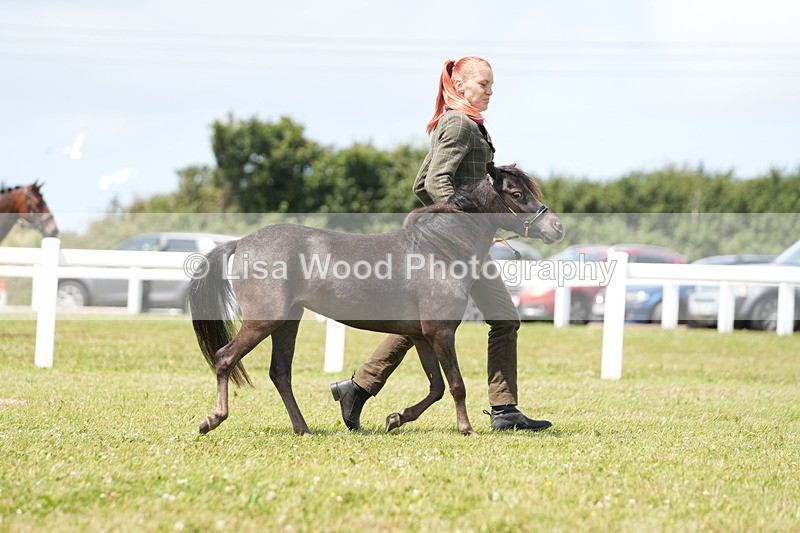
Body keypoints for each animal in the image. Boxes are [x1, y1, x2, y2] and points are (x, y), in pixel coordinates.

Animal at [188, 163, 564, 436]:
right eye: (517, 193)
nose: (556, 227)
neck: (440, 250)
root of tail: (241, 242)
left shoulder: (421, 336)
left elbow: (436, 387)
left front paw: (396, 418)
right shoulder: (441, 332)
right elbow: (456, 384)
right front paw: (466, 428)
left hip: (287, 323)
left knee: (280, 374)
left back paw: (303, 429)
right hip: (264, 321)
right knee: (225, 358)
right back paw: (212, 420)